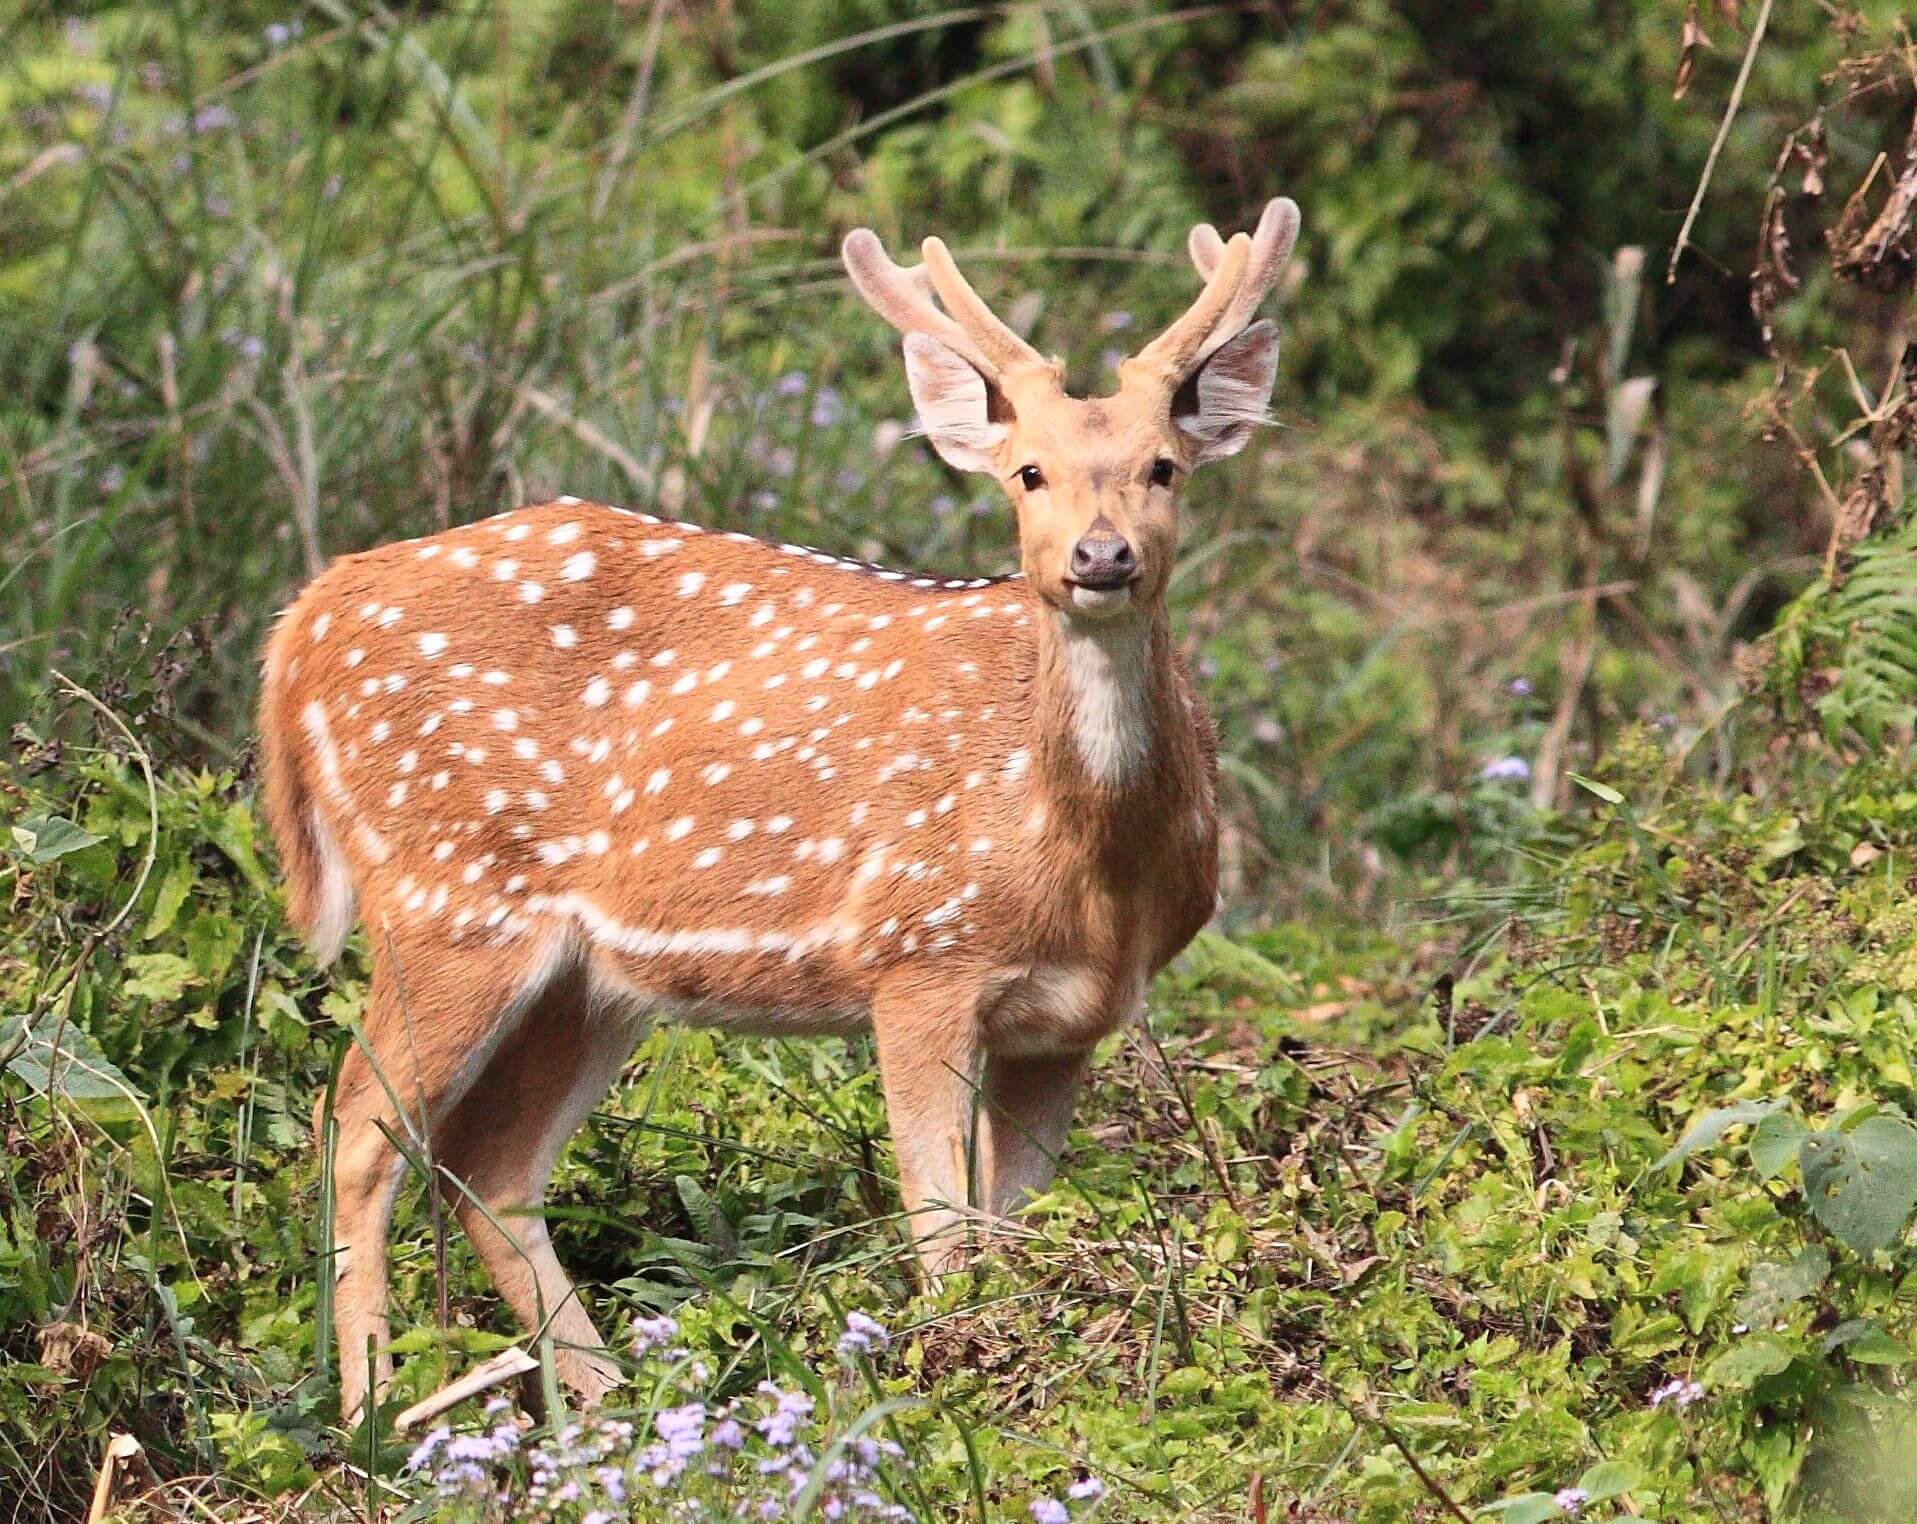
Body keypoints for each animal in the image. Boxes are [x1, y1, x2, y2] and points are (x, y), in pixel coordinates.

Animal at [258, 196, 1303, 1410]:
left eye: (1163, 467)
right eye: (1029, 473)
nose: (1101, 557)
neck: (1085, 869)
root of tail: (305, 616)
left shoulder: (1069, 1021)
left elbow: (1010, 1233)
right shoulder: (917, 956)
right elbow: (943, 1233)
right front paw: (957, 1376)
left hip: (593, 980)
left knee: (491, 1164)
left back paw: (617, 1407)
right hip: (444, 895)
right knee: (356, 1128)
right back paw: (377, 1413)